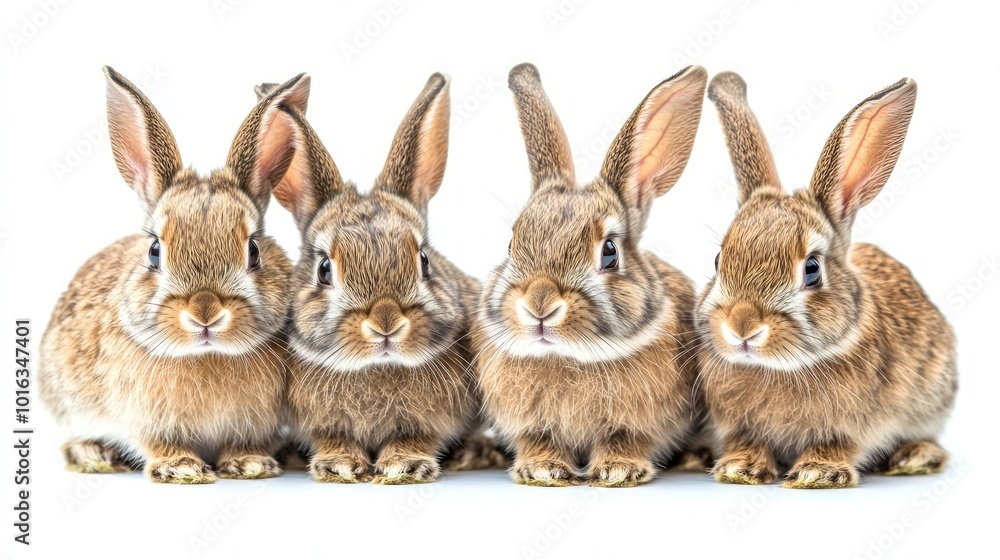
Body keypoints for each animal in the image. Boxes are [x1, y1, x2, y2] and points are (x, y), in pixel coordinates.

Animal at [38, 67, 308, 484]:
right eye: (154, 252)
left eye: (254, 251)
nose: (204, 312)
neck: (206, 355)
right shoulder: (145, 421)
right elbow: (160, 444)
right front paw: (181, 469)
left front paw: (249, 464)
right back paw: (94, 455)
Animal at [265, 72, 501, 484]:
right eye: (324, 269)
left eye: (424, 260)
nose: (386, 322)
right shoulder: (322, 424)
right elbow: (333, 438)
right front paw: (339, 465)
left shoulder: (427, 422)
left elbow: (415, 438)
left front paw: (403, 465)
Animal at [474, 63, 709, 487]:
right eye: (512, 243)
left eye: (609, 253)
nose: (540, 305)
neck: (568, 356)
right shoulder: (530, 425)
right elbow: (539, 439)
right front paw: (543, 470)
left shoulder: (639, 424)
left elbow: (626, 439)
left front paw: (618, 470)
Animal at [698, 71, 958, 489]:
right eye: (719, 260)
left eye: (812, 269)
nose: (742, 326)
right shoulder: (737, 424)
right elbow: (746, 441)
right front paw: (739, 468)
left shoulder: (850, 427)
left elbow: (836, 444)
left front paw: (817, 473)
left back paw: (915, 457)